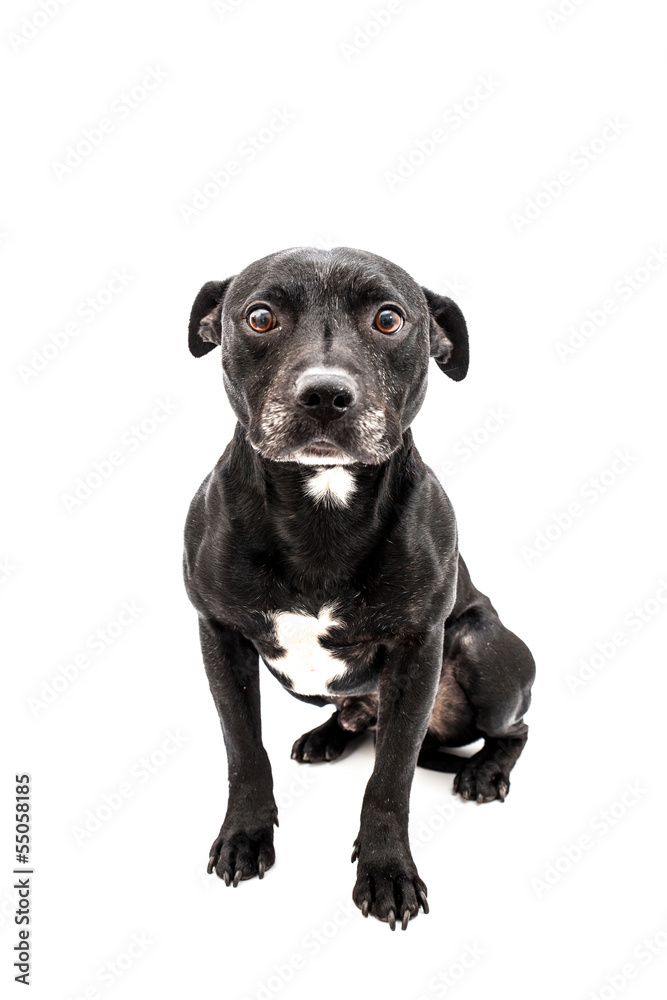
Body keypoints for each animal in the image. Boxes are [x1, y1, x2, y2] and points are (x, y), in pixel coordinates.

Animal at [184, 248, 536, 928]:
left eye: (389, 319)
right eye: (260, 316)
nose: (325, 393)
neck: (321, 506)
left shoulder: (417, 649)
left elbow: (390, 779)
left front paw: (387, 872)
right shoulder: (220, 637)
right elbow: (243, 750)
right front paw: (245, 836)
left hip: (484, 652)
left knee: (514, 729)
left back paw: (485, 772)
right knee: (356, 720)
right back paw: (328, 734)